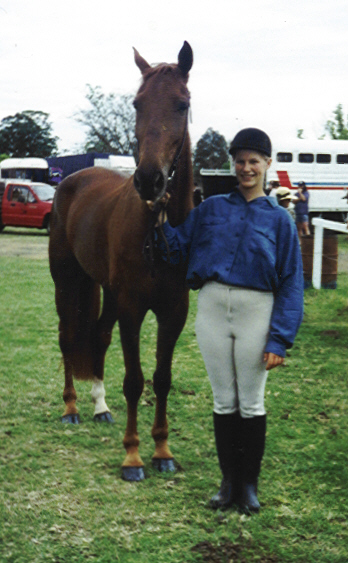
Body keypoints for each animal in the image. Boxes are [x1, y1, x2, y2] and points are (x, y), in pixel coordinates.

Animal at [49, 41, 194, 482]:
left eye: (182, 104)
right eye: (136, 104)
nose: (149, 180)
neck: (158, 227)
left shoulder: (173, 311)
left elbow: (161, 379)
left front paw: (162, 451)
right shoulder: (133, 309)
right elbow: (134, 380)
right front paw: (133, 457)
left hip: (106, 291)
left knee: (97, 336)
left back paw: (100, 407)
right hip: (66, 282)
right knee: (68, 337)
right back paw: (72, 407)